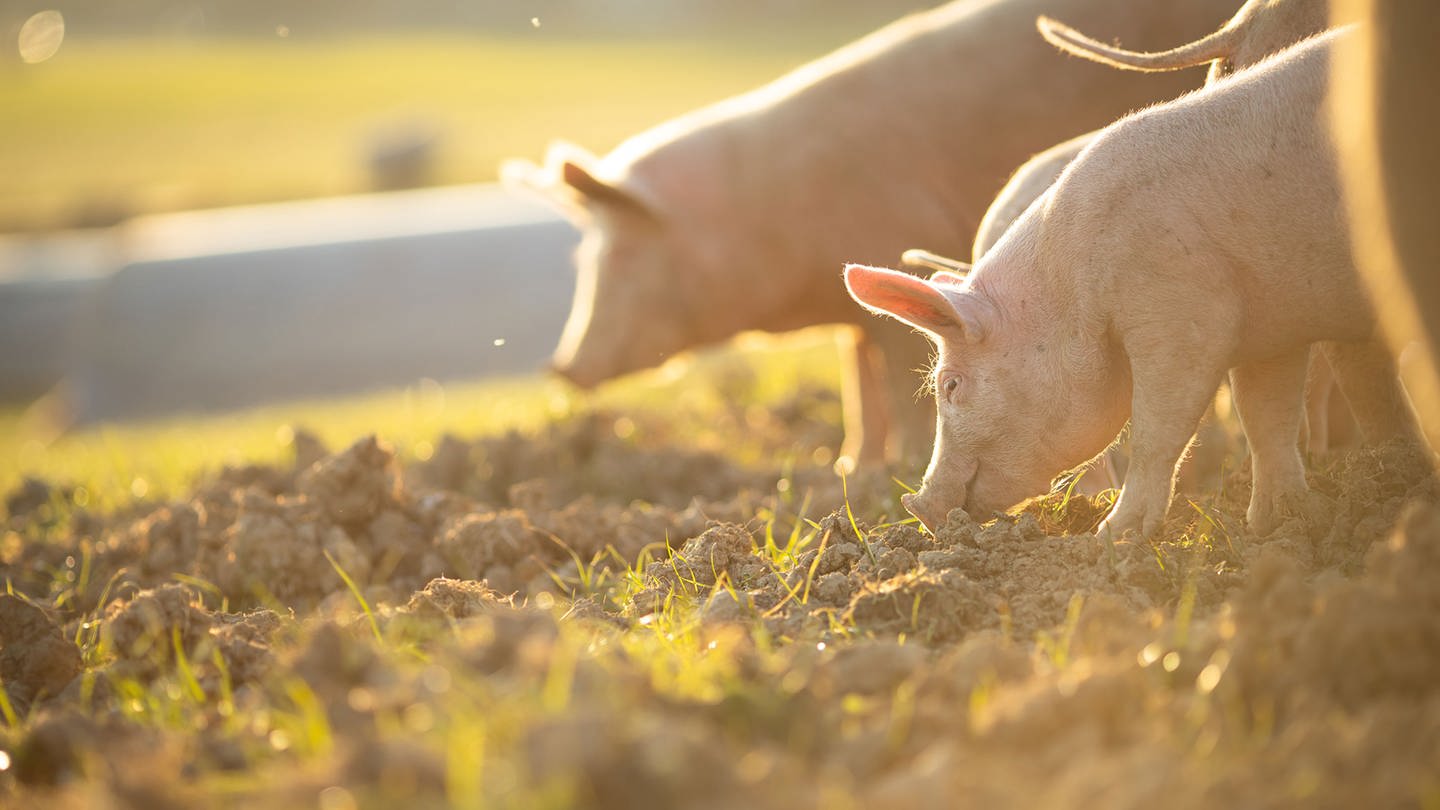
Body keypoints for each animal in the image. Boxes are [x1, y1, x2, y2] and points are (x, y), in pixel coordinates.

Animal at [501, 0, 1232, 466]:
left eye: (624, 253)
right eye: (583, 256)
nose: (561, 367)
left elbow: (895, 385)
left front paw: (891, 467)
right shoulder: (851, 313)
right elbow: (858, 383)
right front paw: (850, 469)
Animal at [840, 26, 1416, 536]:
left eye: (950, 385)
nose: (918, 507)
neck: (1072, 286)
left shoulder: (1181, 313)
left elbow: (1157, 429)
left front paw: (1114, 539)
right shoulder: (1273, 330)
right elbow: (1266, 416)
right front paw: (1277, 527)